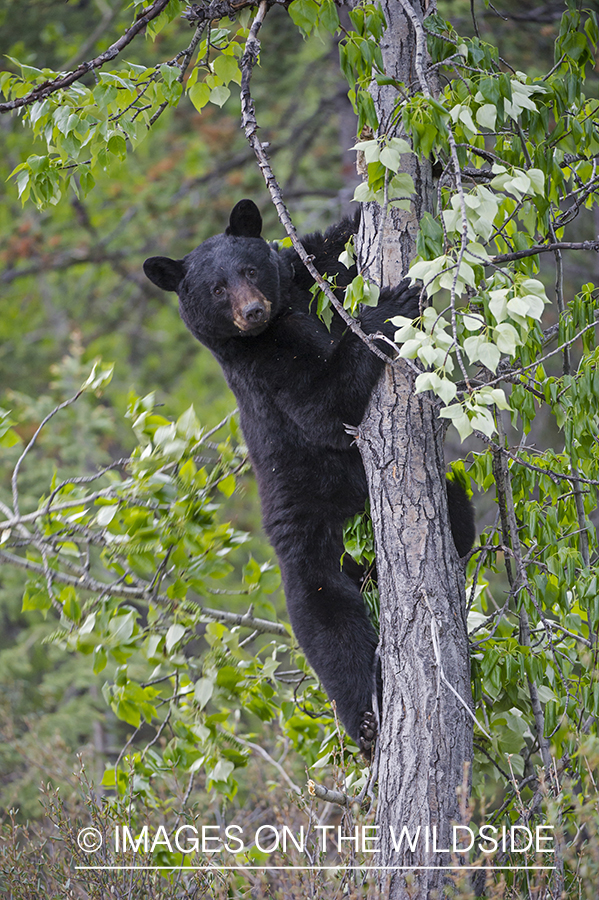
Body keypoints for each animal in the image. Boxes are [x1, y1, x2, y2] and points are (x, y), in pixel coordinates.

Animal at [143, 200, 476, 756]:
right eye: (216, 289)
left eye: (249, 270)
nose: (252, 311)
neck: (280, 318)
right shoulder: (263, 366)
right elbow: (323, 401)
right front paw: (389, 305)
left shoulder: (308, 278)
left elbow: (335, 247)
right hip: (307, 532)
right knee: (326, 618)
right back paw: (365, 717)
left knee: (459, 518)